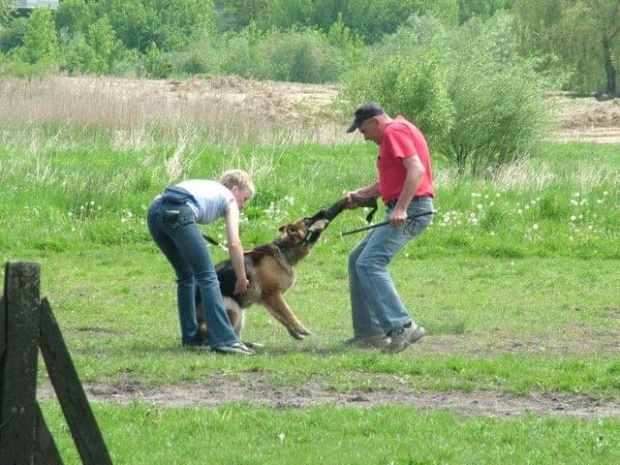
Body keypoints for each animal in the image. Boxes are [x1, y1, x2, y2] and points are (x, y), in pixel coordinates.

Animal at [195, 193, 378, 348]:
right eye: (308, 219)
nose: (324, 210)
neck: (284, 250)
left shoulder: (267, 299)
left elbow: (281, 317)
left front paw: (295, 332)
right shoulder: (273, 294)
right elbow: (287, 312)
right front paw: (301, 328)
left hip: (240, 315)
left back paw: (249, 345)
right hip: (233, 308)